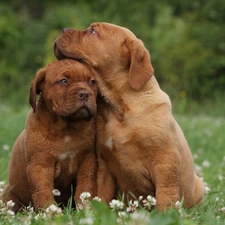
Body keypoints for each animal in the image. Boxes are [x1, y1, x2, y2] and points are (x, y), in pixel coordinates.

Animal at [1, 59, 97, 211]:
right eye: (63, 81)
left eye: (92, 82)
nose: (85, 94)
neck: (67, 130)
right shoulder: (41, 166)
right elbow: (43, 192)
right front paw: (50, 211)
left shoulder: (87, 161)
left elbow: (84, 189)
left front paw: (86, 210)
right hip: (9, 196)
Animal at [53, 22, 205, 211]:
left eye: (93, 31)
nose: (63, 30)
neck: (119, 108)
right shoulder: (104, 164)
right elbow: (101, 193)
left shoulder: (165, 159)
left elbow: (166, 192)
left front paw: (165, 214)